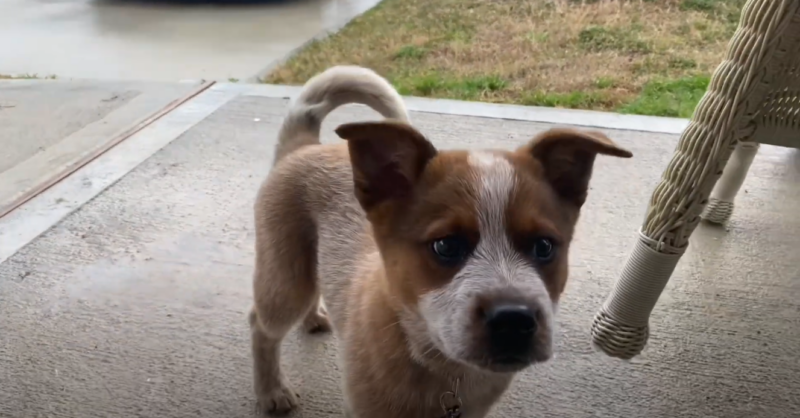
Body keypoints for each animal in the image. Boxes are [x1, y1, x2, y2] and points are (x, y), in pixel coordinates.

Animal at [250, 66, 632, 418]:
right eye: (446, 246)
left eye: (544, 246)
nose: (513, 320)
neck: (441, 369)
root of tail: (304, 146)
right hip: (286, 281)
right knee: (261, 324)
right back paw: (271, 391)